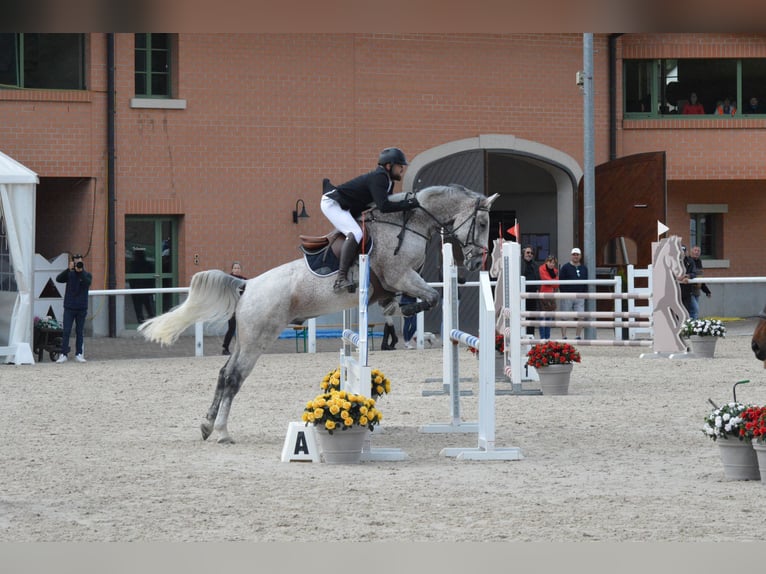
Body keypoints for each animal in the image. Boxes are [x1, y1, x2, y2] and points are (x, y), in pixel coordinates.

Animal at [140, 186, 498, 446]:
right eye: (482, 224)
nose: (475, 262)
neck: (409, 224)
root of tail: (247, 284)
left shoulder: (397, 283)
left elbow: (418, 300)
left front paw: (397, 311)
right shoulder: (401, 276)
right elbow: (432, 297)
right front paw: (408, 310)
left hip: (245, 338)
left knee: (223, 373)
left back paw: (207, 425)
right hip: (258, 338)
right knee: (233, 378)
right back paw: (224, 432)